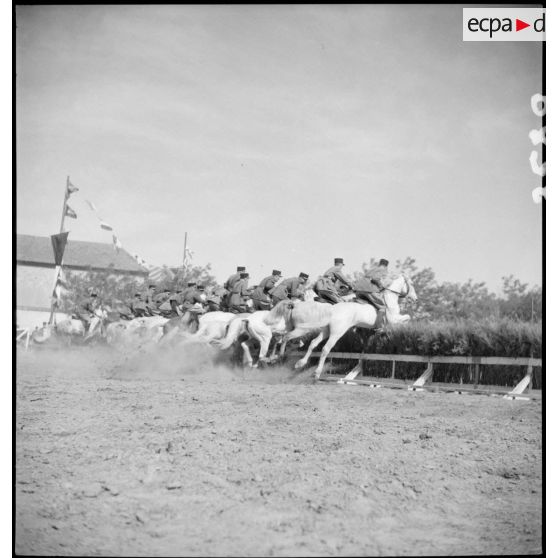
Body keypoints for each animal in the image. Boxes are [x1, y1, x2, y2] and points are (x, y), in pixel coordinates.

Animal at [278, 274, 416, 378]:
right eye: (411, 284)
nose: (415, 298)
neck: (390, 297)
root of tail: (332, 309)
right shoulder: (393, 319)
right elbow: (407, 317)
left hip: (326, 330)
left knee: (313, 343)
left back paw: (299, 363)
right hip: (337, 332)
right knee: (325, 349)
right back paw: (316, 372)